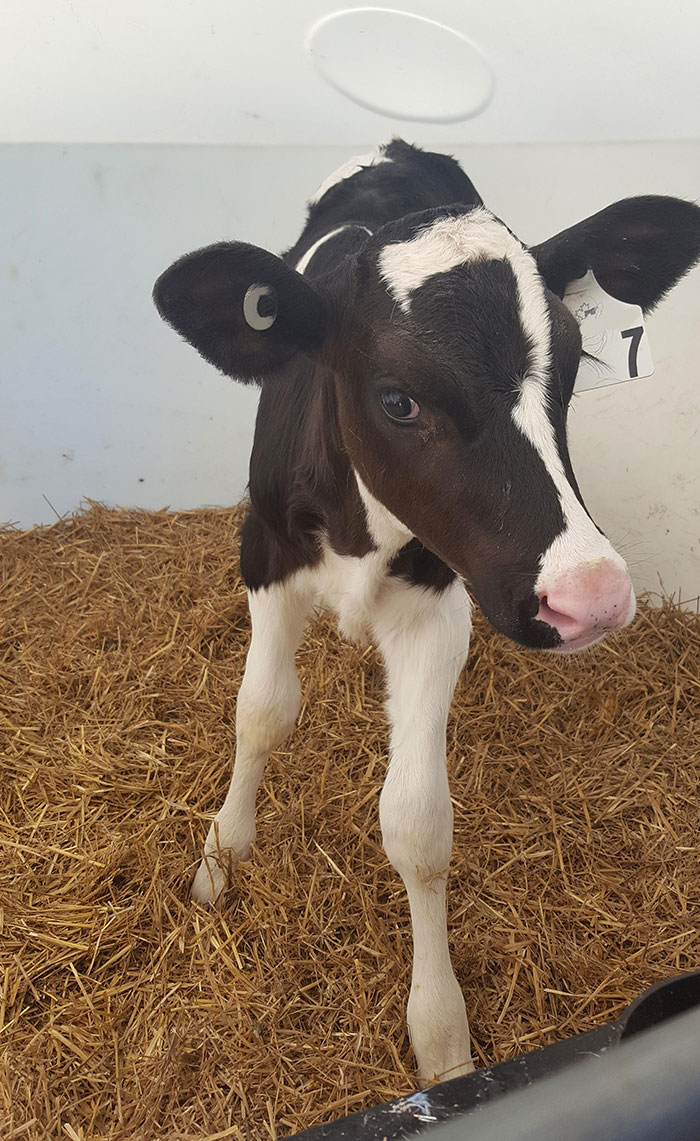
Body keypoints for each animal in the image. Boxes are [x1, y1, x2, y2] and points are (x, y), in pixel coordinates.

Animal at [153, 139, 700, 1081]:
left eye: (571, 364)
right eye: (398, 398)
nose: (591, 592)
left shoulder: (440, 603)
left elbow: (416, 821)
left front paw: (441, 1036)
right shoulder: (262, 551)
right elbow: (261, 711)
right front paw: (222, 854)